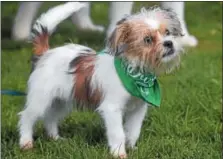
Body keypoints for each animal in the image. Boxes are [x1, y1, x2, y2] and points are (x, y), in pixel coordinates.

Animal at [18, 2, 184, 158]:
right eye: (147, 40)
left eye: (167, 32)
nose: (169, 43)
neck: (135, 75)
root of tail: (45, 53)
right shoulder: (112, 109)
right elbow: (118, 133)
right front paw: (119, 153)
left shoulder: (138, 109)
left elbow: (133, 131)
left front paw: (131, 147)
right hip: (40, 99)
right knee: (27, 117)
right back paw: (26, 142)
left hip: (62, 100)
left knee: (50, 117)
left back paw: (55, 138)